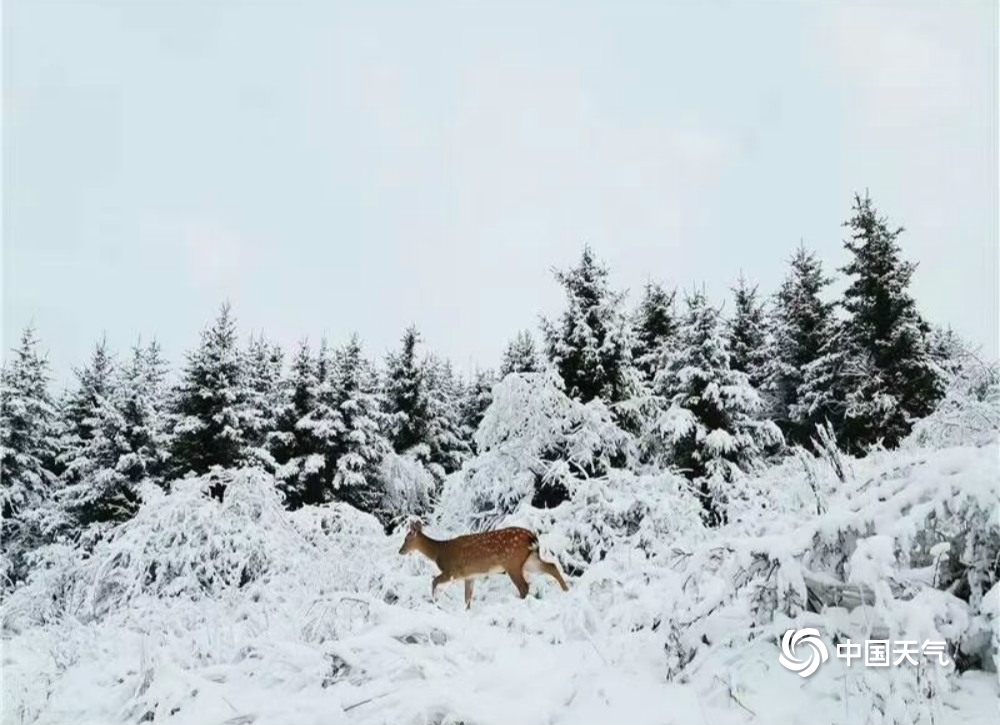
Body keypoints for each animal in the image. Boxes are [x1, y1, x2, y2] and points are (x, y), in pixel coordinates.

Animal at [398, 516, 572, 608]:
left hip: (512, 562)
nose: (400, 551)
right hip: (530, 560)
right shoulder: (469, 576)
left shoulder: (452, 571)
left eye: (406, 538)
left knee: (524, 586)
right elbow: (467, 598)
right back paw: (567, 591)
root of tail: (532, 536)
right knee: (551, 566)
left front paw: (434, 601)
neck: (440, 552)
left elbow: (434, 581)